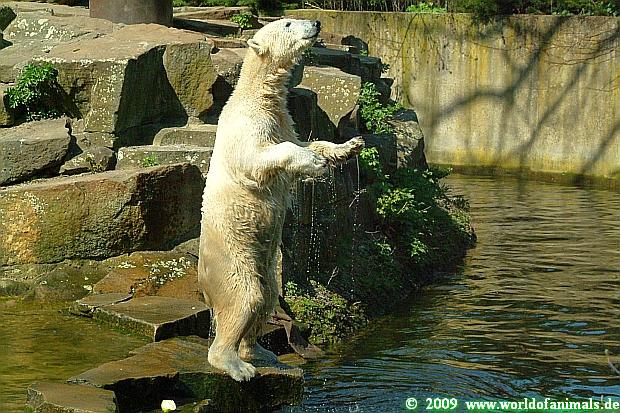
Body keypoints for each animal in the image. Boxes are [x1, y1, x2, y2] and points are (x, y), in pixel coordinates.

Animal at [198, 18, 364, 382]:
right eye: (288, 23)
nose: (316, 22)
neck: (257, 96)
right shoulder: (248, 128)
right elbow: (260, 158)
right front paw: (314, 163)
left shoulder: (283, 119)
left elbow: (306, 142)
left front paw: (349, 146)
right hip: (233, 258)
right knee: (244, 297)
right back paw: (237, 364)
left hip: (263, 265)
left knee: (268, 297)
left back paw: (258, 350)